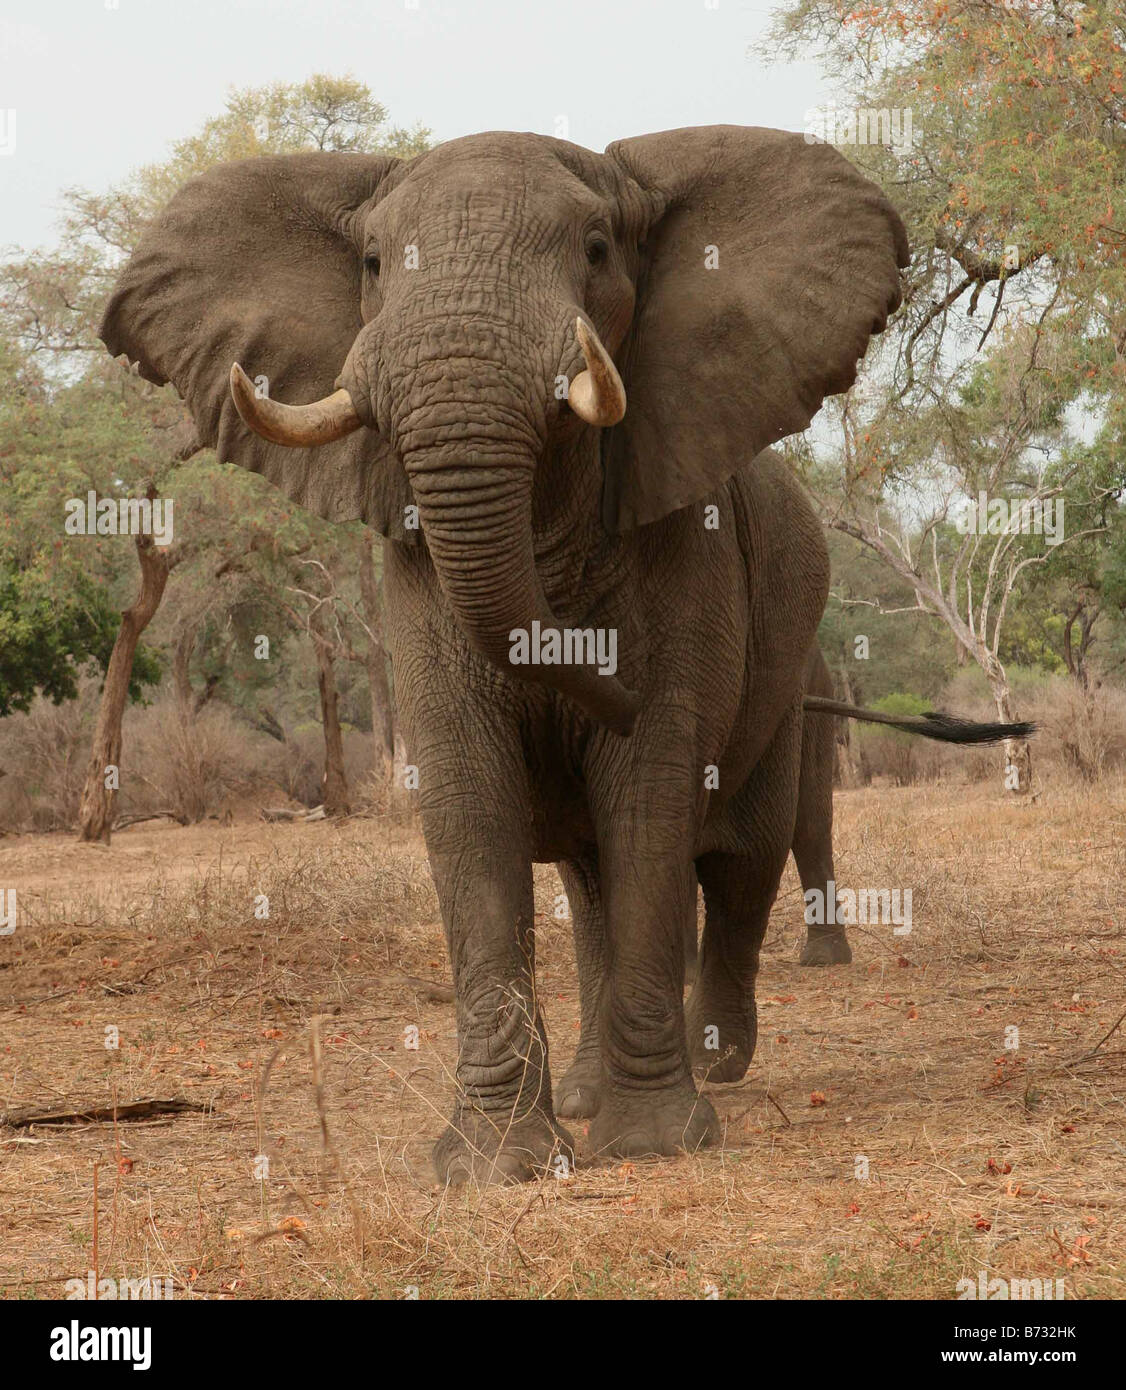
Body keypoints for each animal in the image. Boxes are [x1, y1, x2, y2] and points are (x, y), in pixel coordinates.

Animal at [100, 126, 1030, 1184]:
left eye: (595, 250)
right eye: (373, 264)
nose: (596, 680)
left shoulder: (684, 542)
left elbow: (652, 789)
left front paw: (656, 1145)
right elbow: (473, 806)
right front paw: (493, 1165)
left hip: (792, 660)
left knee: (741, 858)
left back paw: (720, 1064)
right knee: (594, 887)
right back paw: (592, 1092)